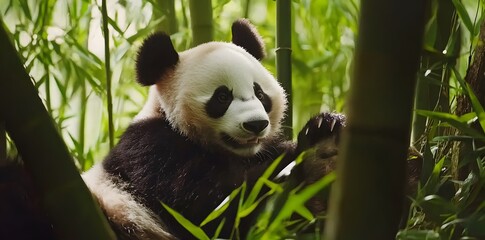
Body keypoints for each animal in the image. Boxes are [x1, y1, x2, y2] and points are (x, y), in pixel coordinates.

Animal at [80, 19, 344, 240]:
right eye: (222, 97)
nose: (256, 124)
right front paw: (311, 155)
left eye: (259, 93)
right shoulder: (149, 151)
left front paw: (327, 126)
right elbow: (213, 205)